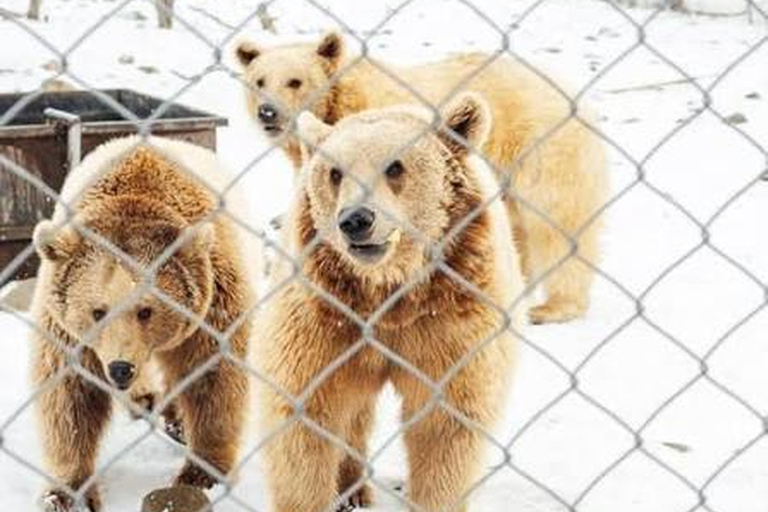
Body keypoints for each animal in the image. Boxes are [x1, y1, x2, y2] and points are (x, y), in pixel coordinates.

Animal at [29, 136, 257, 512]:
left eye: (146, 310)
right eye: (98, 311)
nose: (121, 368)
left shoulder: (210, 310)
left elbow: (212, 380)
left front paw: (201, 473)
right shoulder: (68, 330)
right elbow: (70, 397)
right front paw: (67, 491)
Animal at [235, 32, 607, 324]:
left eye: (295, 81)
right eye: (259, 81)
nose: (267, 113)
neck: (340, 102)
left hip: (539, 146)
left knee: (556, 222)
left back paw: (554, 306)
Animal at [256, 93, 524, 512]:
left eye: (395, 166)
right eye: (334, 173)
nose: (356, 220)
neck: (387, 295)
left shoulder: (450, 319)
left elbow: (444, 424)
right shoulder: (324, 319)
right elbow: (305, 418)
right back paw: (353, 490)